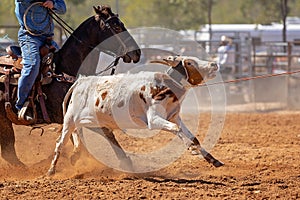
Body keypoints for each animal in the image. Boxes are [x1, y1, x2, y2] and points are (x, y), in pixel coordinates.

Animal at [0, 5, 141, 166]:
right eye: (116, 26)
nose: (137, 52)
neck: (65, 70)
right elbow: (105, 131)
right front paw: (126, 163)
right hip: (4, 120)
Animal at [47, 55, 223, 175]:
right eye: (189, 62)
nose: (214, 64)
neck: (163, 87)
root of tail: (80, 82)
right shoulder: (154, 120)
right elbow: (175, 129)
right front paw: (192, 149)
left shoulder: (173, 117)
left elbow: (191, 136)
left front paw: (213, 160)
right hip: (70, 119)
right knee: (60, 142)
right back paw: (52, 170)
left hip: (92, 121)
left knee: (89, 134)